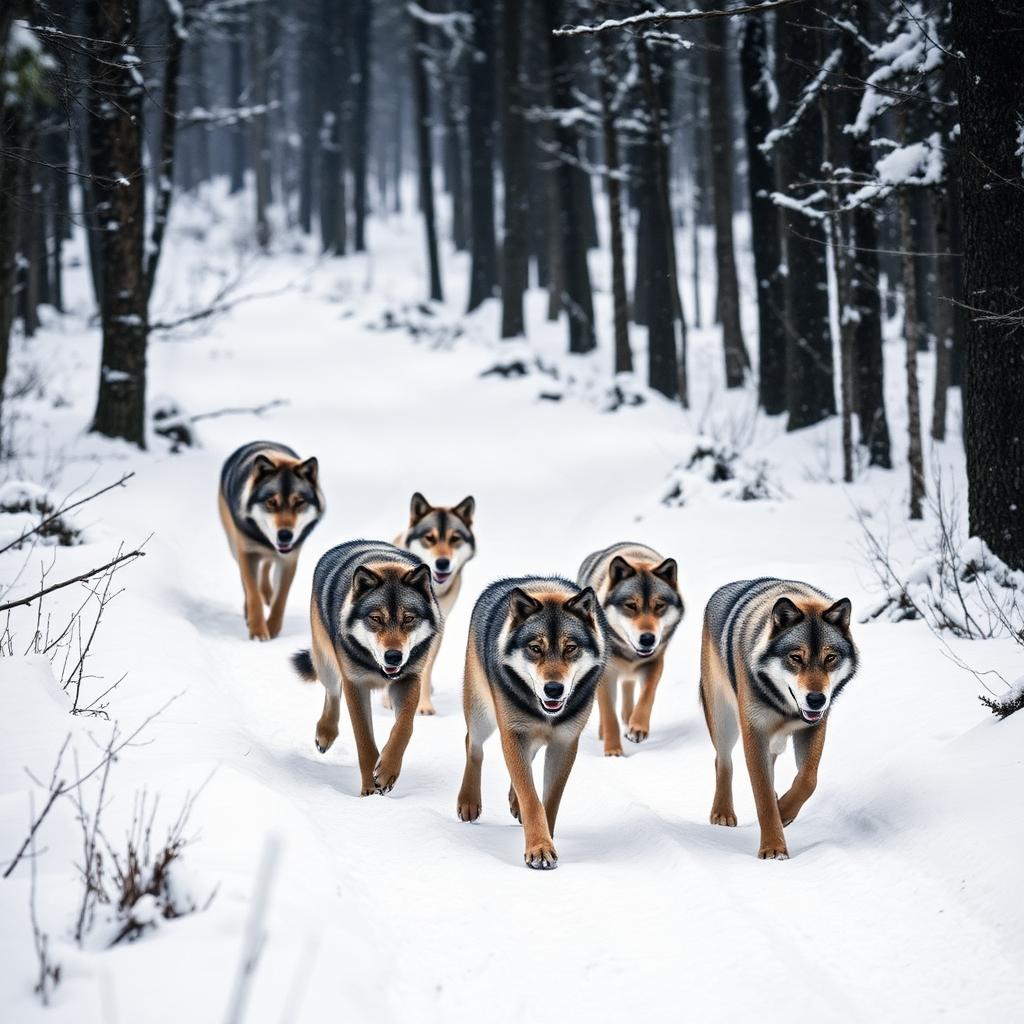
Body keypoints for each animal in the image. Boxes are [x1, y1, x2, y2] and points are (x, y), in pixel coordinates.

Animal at [218, 441, 324, 640]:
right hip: (234, 548)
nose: (285, 535)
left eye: (299, 502)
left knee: (267, 565)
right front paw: (258, 632)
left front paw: (273, 629)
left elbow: (280, 598)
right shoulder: (248, 553)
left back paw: (267, 593)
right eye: (271, 502)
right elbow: (253, 594)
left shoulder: (289, 559)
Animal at [291, 541, 442, 796]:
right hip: (326, 663)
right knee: (332, 692)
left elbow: (404, 728)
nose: (394, 656)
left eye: (408, 619)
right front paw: (369, 792)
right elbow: (364, 742)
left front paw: (387, 772)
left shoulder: (409, 679)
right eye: (376, 618)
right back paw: (325, 734)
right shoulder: (355, 683)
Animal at [456, 576, 608, 869]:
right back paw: (468, 802)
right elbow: (531, 797)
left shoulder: (564, 742)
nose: (554, 689)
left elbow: (549, 800)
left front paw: (546, 840)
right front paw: (539, 848)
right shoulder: (513, 733)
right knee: (472, 744)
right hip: (482, 715)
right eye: (536, 648)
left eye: (570, 648)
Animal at [578, 543, 683, 756]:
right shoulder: (606, 674)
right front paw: (613, 752)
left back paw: (628, 720)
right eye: (631, 605)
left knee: (628, 689)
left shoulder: (654, 663)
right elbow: (609, 715)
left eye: (659, 605)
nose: (648, 639)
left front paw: (637, 728)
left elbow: (647, 697)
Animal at [700, 578, 857, 860]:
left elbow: (808, 779)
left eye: (830, 658)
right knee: (723, 760)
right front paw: (773, 847)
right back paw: (723, 813)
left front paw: (783, 812)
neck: (785, 708)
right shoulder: (754, 732)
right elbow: (762, 795)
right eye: (796, 657)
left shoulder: (814, 726)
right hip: (725, 721)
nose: (816, 700)